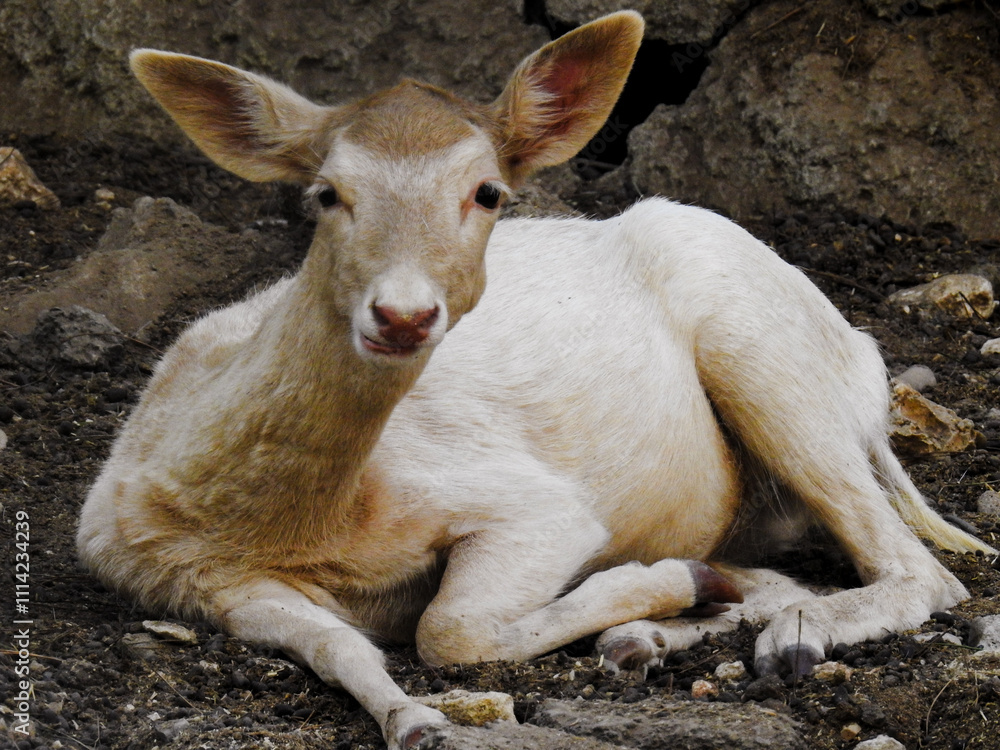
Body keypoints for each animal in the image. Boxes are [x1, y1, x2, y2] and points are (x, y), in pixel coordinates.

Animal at [77, 11, 994, 749]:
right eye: (326, 193)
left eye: (487, 191)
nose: (403, 314)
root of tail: (865, 359)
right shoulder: (197, 581)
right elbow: (339, 642)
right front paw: (413, 721)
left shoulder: (535, 505)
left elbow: (448, 627)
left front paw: (668, 584)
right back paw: (662, 632)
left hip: (770, 356)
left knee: (924, 570)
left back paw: (785, 631)